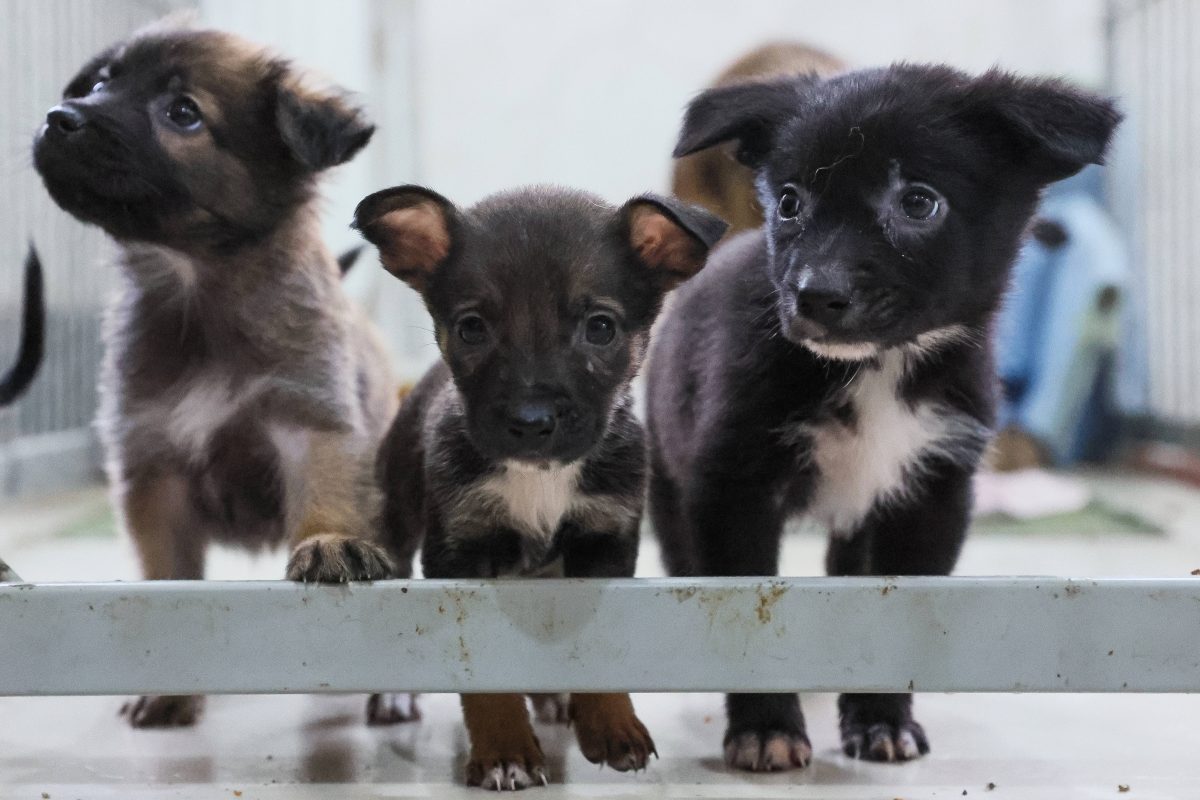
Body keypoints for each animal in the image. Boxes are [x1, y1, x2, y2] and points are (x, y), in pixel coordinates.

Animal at [32, 23, 412, 724]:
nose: (59, 117)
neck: (197, 294)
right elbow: (168, 586)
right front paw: (169, 690)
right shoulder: (154, 468)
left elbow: (325, 504)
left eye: (183, 113)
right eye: (100, 82)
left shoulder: (312, 429)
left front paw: (327, 545)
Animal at [350, 184, 724, 791]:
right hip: (396, 523)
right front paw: (505, 750)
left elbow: (595, 648)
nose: (530, 422)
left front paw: (611, 725)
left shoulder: (605, 543)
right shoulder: (460, 554)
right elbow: (486, 676)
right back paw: (395, 697)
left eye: (601, 327)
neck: (540, 477)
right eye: (471, 327)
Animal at [652, 65, 1118, 772]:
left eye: (918, 203)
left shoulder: (930, 494)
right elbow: (740, 615)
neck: (879, 369)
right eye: (788, 202)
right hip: (670, 481)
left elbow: (895, 621)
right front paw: (765, 728)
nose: (814, 295)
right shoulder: (733, 486)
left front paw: (880, 720)